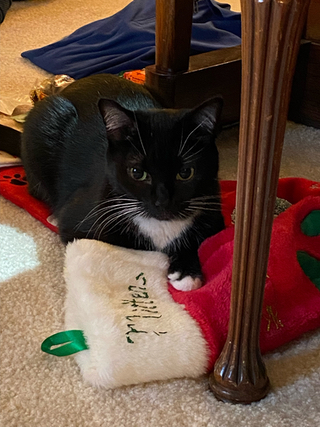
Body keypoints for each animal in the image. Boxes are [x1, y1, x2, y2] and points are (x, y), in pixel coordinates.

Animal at [20, 75, 225, 292]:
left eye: (185, 173)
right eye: (137, 173)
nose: (162, 202)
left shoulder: (214, 213)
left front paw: (187, 271)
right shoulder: (80, 223)